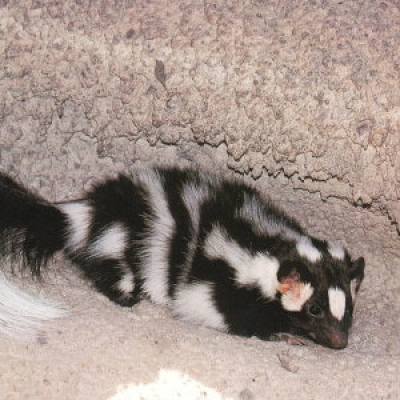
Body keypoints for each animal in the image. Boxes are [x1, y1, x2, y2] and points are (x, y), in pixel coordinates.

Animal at [0, 167, 366, 348]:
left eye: (348, 308)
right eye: (314, 309)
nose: (340, 342)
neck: (270, 246)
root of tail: (85, 209)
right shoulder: (220, 282)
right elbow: (223, 313)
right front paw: (282, 335)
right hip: (119, 241)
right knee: (112, 271)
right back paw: (127, 295)